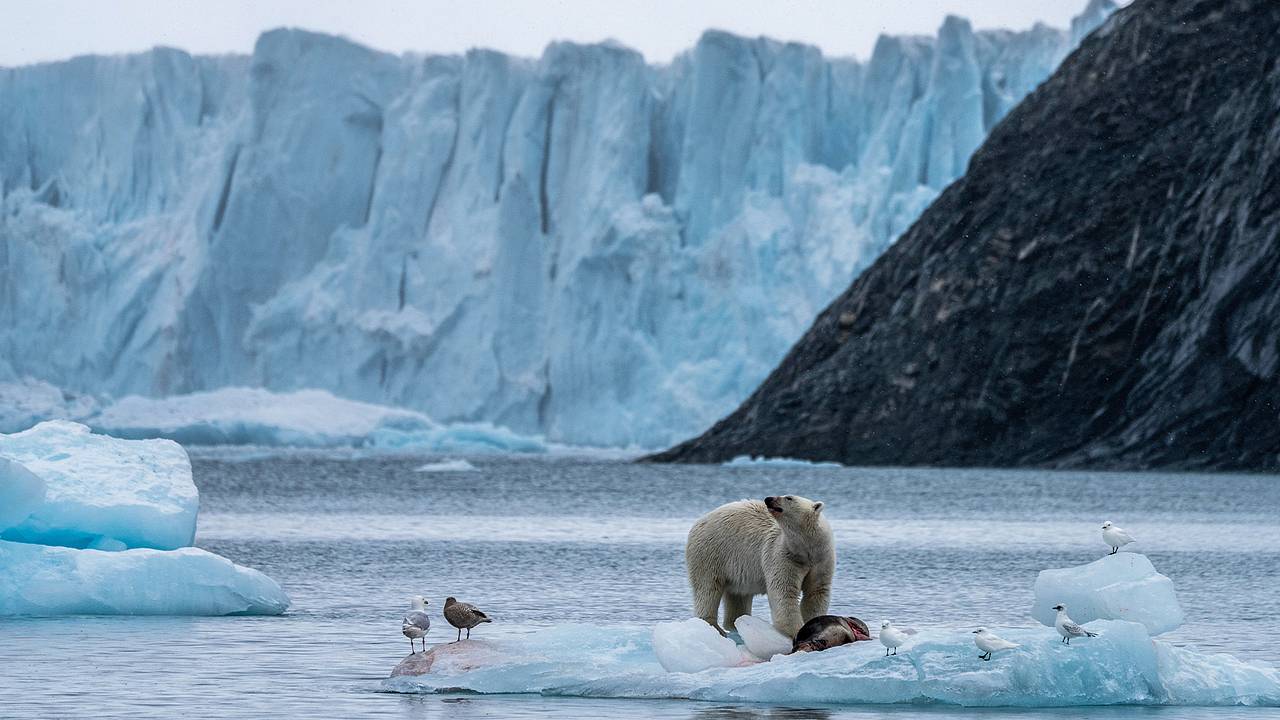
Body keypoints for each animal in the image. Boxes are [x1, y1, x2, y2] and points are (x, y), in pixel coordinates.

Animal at [686, 489, 834, 635]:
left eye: (789, 498)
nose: (768, 499)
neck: (806, 548)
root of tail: (699, 522)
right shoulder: (783, 555)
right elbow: (784, 592)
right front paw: (796, 631)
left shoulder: (822, 559)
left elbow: (816, 592)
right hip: (710, 553)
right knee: (708, 588)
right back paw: (713, 626)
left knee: (738, 596)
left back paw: (736, 624)